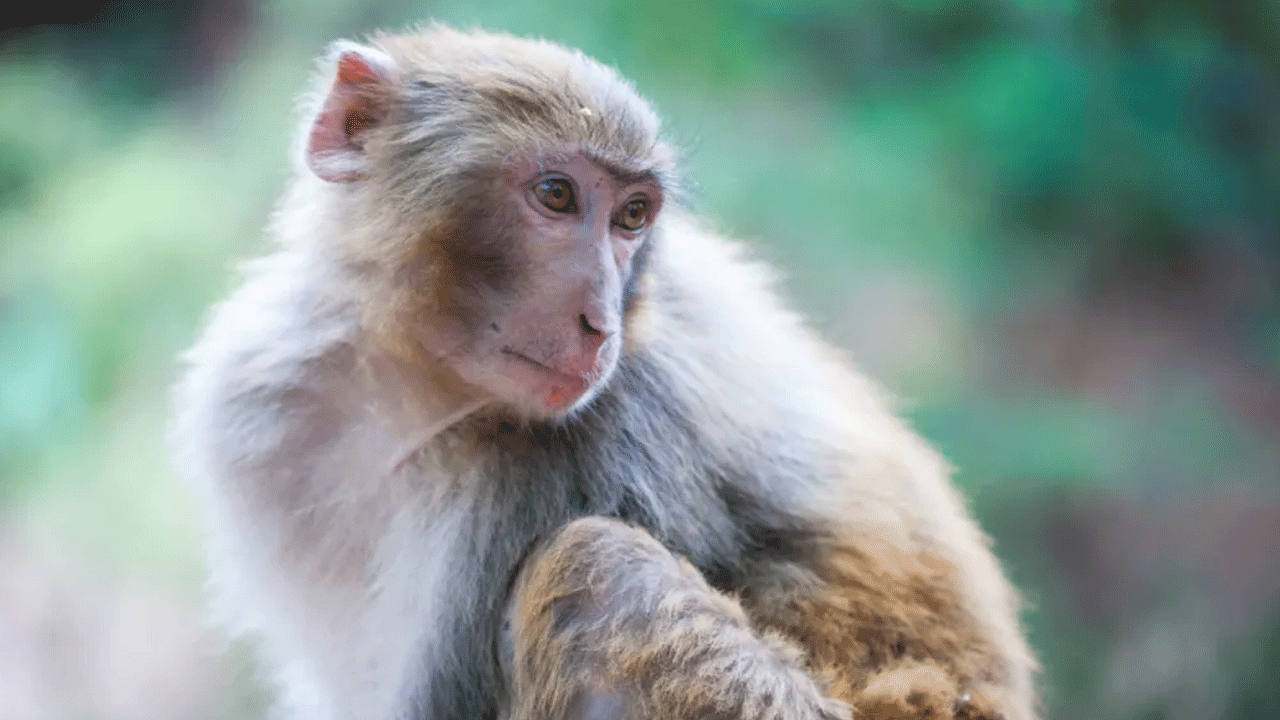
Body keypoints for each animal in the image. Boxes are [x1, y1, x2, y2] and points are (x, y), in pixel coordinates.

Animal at [172, 23, 1038, 720]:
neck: (411, 383)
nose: (601, 323)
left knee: (600, 573)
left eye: (631, 217)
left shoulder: (585, 453)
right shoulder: (258, 405)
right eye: (556, 196)